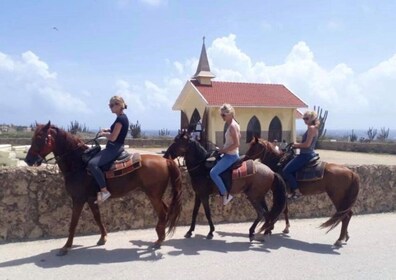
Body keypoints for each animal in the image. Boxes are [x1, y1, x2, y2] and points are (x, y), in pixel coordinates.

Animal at [25, 121, 183, 255]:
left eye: (39, 138)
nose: (28, 160)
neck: (79, 163)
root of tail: (166, 160)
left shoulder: (78, 199)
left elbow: (73, 223)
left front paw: (66, 247)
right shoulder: (90, 198)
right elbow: (97, 217)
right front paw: (103, 237)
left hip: (153, 195)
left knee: (163, 212)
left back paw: (159, 239)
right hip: (155, 195)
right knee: (166, 210)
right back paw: (160, 236)